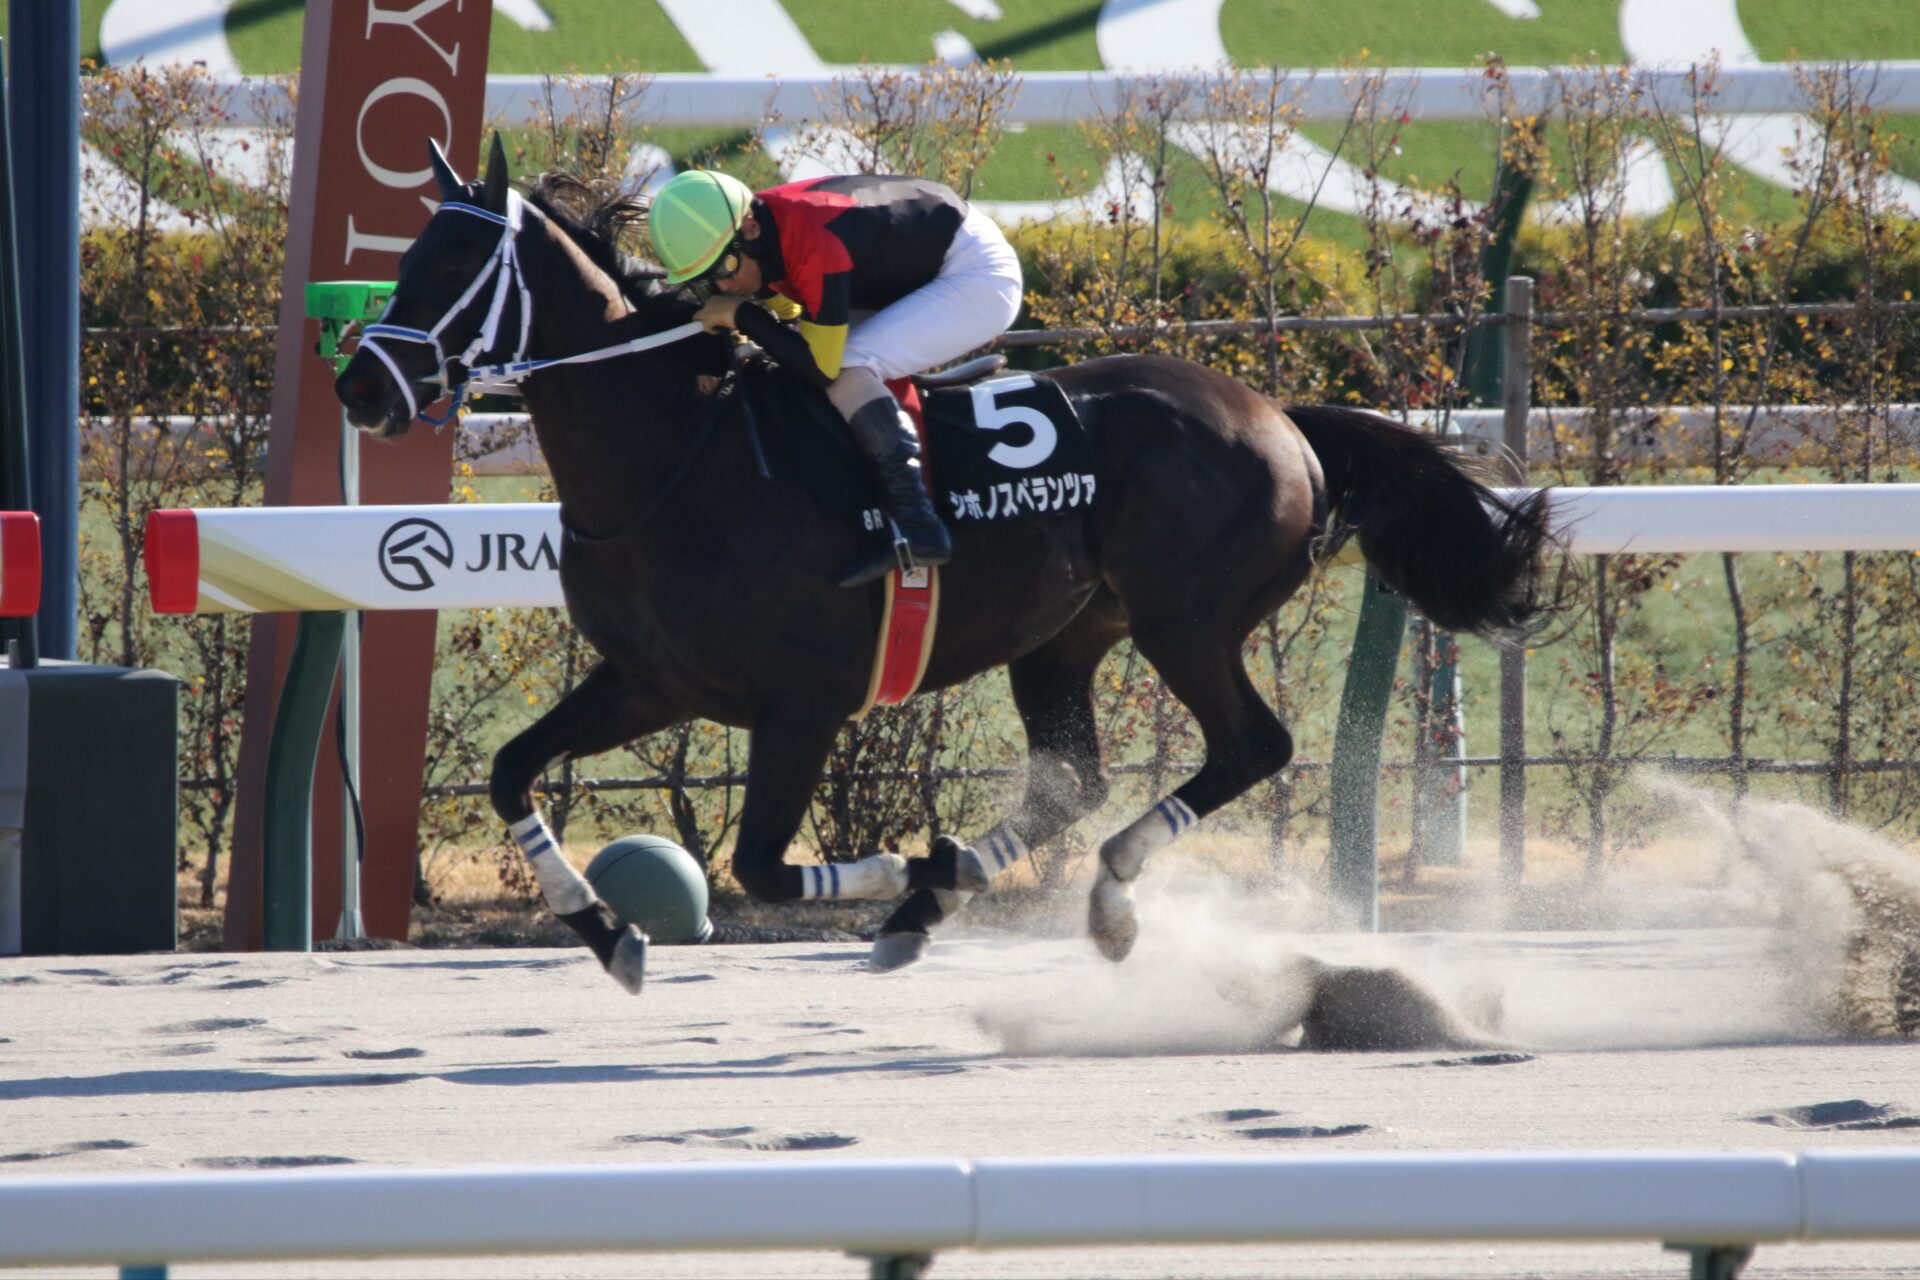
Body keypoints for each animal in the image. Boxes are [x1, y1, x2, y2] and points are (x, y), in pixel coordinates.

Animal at [334, 136, 1556, 994]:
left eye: (454, 262)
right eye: (404, 259)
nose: (359, 386)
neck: (674, 458)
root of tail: (1281, 418)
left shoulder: (803, 702)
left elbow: (763, 866)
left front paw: (892, 873)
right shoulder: (649, 681)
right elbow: (511, 771)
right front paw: (608, 932)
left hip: (1188, 621)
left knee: (1251, 747)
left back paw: (1079, 895)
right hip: (1067, 635)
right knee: (1075, 777)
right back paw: (956, 893)